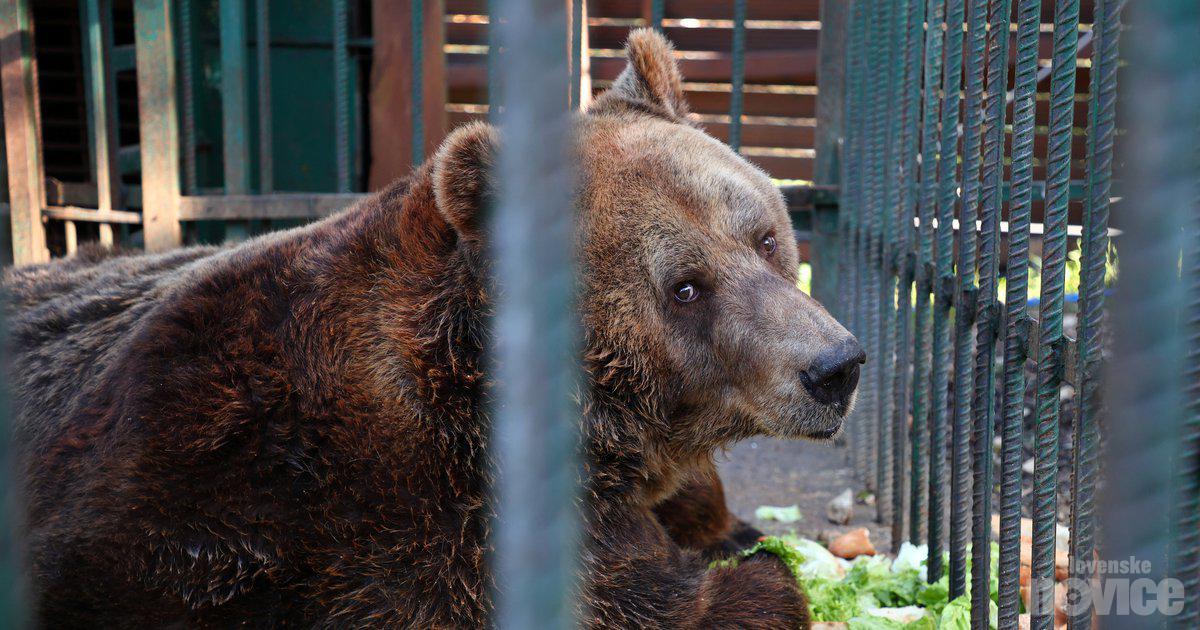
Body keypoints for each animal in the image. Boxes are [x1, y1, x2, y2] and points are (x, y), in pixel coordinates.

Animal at [2, 28, 864, 624]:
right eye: (685, 287)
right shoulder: (403, 519)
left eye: (764, 236)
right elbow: (681, 600)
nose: (835, 365)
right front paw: (761, 573)